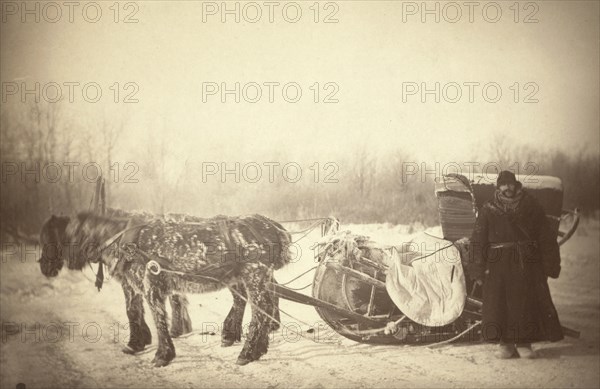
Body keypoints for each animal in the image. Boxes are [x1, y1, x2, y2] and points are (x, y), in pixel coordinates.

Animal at [37, 211, 290, 366]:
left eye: (48, 238)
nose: (44, 268)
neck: (123, 241)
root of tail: (272, 227)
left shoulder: (150, 286)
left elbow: (157, 318)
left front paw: (162, 354)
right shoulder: (135, 285)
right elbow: (135, 311)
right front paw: (138, 342)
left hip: (254, 277)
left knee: (260, 312)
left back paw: (247, 351)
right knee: (261, 308)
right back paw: (255, 347)